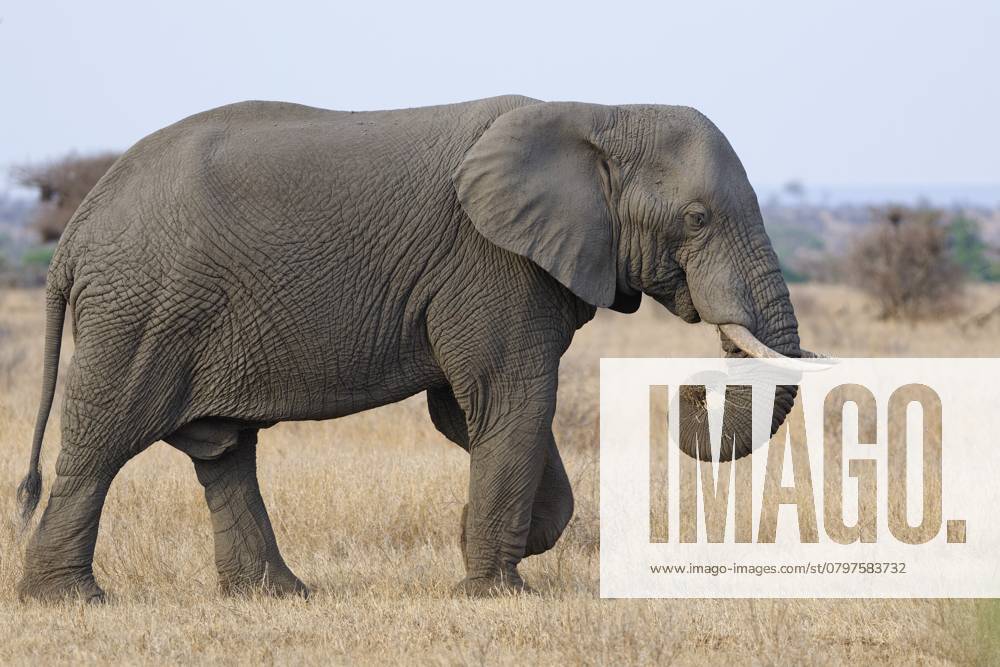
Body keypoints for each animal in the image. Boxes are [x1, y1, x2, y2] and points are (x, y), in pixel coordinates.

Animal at [14, 95, 810, 602]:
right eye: (698, 218)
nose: (692, 388)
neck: (597, 112)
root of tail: (74, 235)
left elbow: (468, 413)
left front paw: (487, 543)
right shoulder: (492, 263)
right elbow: (512, 399)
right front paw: (491, 591)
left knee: (222, 452)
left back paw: (277, 596)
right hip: (139, 312)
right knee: (101, 445)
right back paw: (70, 601)